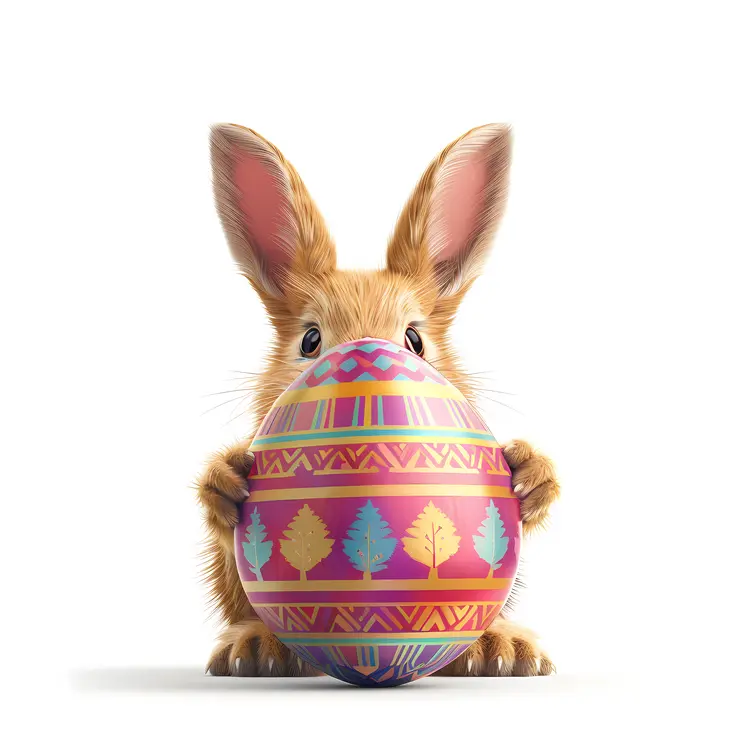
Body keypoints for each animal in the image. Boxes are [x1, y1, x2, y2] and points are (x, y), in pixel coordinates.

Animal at [199, 123, 560, 678]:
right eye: (310, 341)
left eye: (414, 339)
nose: (367, 354)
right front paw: (226, 480)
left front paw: (531, 474)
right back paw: (259, 649)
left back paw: (499, 649)